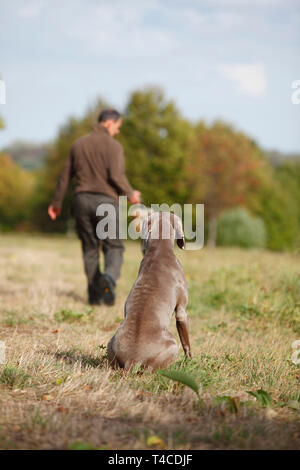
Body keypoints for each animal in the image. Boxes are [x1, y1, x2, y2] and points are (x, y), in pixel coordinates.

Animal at [108, 211, 192, 370]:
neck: (159, 250)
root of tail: (132, 360)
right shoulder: (181, 311)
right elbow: (187, 344)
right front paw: (190, 362)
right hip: (172, 345)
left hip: (112, 342)